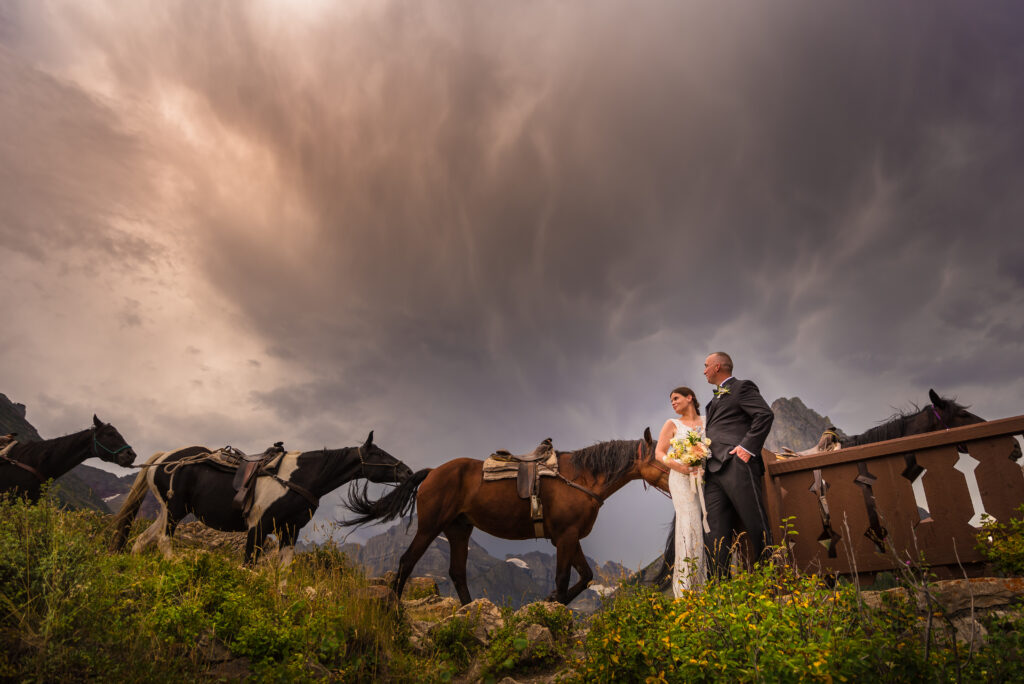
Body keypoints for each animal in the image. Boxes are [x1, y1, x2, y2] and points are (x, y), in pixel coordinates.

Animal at [113, 436, 411, 565]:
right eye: (380, 454)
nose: (408, 471)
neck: (299, 477)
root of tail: (165, 458)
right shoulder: (258, 526)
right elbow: (249, 565)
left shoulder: (290, 531)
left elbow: (283, 574)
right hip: (175, 510)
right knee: (164, 540)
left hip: (169, 510)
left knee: (143, 540)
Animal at [339, 430, 667, 606]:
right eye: (663, 456)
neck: (580, 478)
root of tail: (432, 472)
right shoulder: (565, 536)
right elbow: (564, 578)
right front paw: (554, 606)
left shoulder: (570, 537)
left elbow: (585, 576)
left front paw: (551, 600)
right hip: (430, 526)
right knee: (407, 561)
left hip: (459, 529)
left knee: (457, 572)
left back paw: (469, 611)